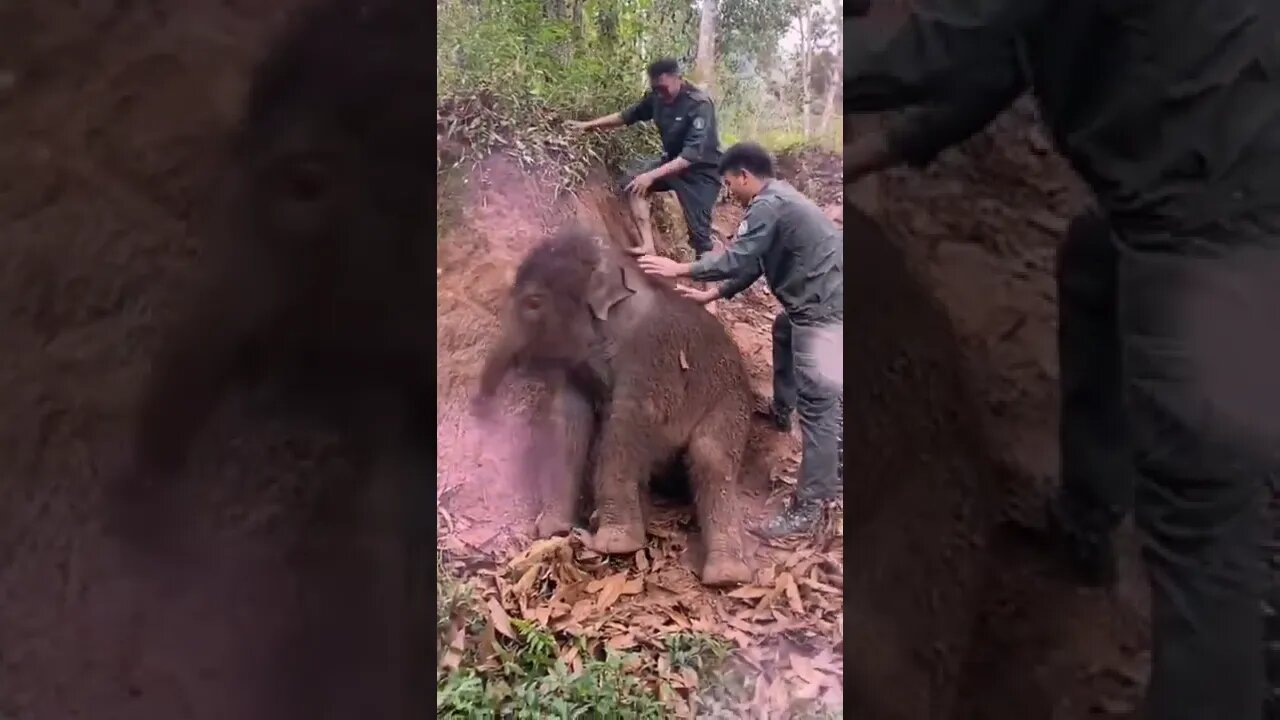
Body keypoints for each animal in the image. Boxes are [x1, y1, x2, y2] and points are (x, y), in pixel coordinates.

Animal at [481, 226, 757, 586]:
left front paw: (614, 545)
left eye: (534, 302)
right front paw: (554, 530)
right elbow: (567, 418)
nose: (483, 407)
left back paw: (726, 576)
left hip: (730, 401)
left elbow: (627, 427)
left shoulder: (654, 359)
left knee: (711, 457)